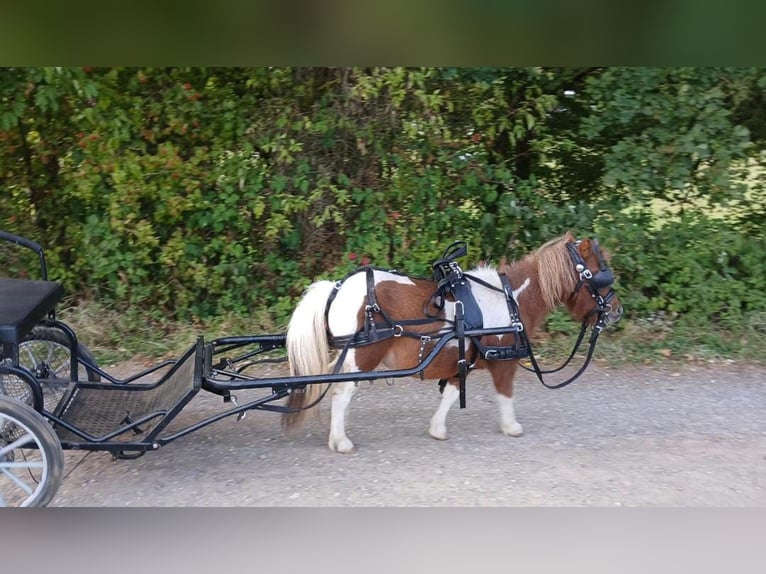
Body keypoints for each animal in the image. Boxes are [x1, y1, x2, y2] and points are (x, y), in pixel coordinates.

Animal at [282, 231, 623, 453]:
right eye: (601, 274)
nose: (617, 311)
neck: (510, 300)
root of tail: (336, 288)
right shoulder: (504, 361)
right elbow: (505, 394)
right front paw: (511, 426)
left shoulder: (461, 358)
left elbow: (451, 393)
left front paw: (437, 429)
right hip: (361, 358)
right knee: (341, 394)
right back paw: (340, 441)